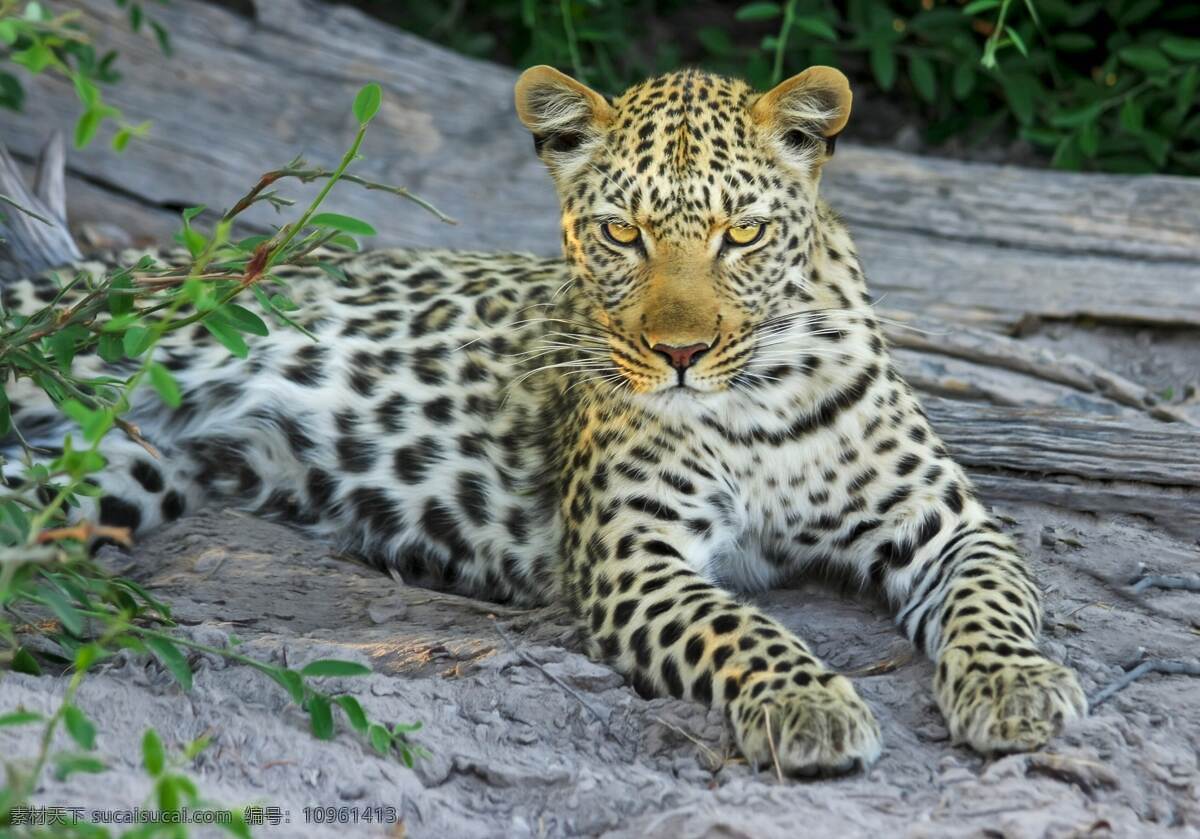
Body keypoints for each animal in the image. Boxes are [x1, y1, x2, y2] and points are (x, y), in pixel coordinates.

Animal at [0, 67, 1089, 782]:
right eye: (621, 233)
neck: (758, 397)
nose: (681, 353)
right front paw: (807, 700)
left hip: (116, 471)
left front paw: (1019, 688)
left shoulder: (947, 522)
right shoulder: (632, 554)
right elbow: (740, 623)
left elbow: (993, 600)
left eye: (741, 234)